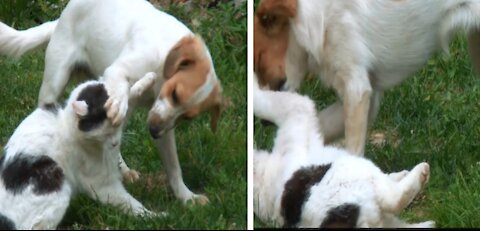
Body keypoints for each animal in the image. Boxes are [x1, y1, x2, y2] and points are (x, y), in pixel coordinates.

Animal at [0, 0, 226, 206]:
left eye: (187, 117)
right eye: (175, 94)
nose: (153, 131)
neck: (164, 57)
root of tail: (62, 16)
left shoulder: (163, 125)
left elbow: (173, 166)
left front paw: (187, 197)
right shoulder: (118, 71)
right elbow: (119, 95)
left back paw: (122, 169)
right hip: (54, 84)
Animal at [255, 0, 480, 156]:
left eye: (257, 63)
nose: (263, 122)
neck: (320, 18)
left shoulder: (357, 91)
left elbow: (353, 152)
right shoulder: (367, 98)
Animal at [255, 75, 436, 228]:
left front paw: (399, 174)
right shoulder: (297, 110)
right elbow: (267, 100)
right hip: (354, 173)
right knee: (393, 198)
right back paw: (421, 172)